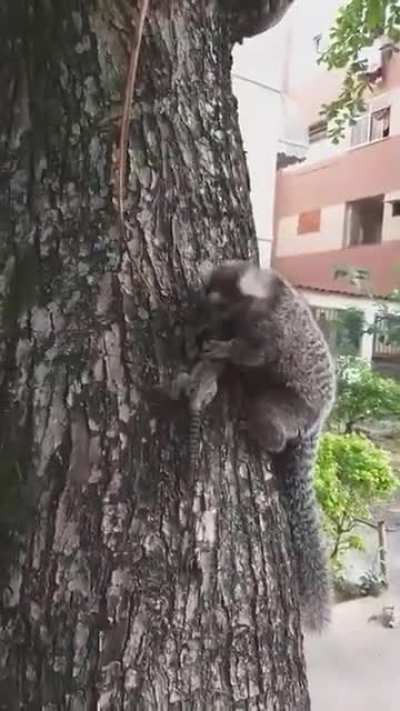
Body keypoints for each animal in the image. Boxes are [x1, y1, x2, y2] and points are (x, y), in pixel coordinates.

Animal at [195, 259, 336, 632]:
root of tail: (319, 419)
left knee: (269, 414)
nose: (205, 312)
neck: (269, 294)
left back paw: (263, 436)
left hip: (292, 409)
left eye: (219, 302)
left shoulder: (272, 328)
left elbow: (255, 356)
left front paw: (224, 348)